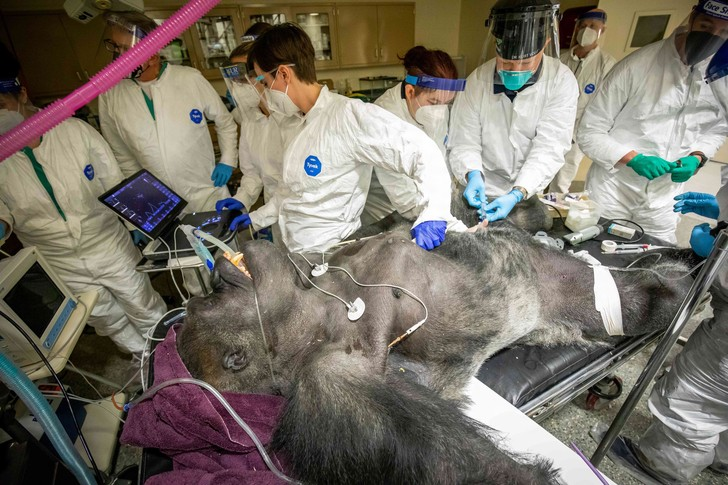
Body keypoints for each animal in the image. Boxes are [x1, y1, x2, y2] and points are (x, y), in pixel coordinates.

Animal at [176, 220, 692, 484]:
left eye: (215, 292)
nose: (218, 268)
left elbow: (383, 243)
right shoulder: (333, 386)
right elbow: (455, 462)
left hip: (540, 266)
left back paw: (676, 272)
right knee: (633, 302)